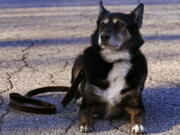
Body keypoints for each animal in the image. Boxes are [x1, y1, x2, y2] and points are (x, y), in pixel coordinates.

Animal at [71, 0, 147, 134]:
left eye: (121, 24)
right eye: (102, 24)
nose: (103, 36)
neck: (115, 60)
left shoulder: (135, 103)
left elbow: (138, 113)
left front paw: (138, 125)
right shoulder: (88, 102)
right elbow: (84, 111)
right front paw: (85, 124)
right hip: (79, 64)